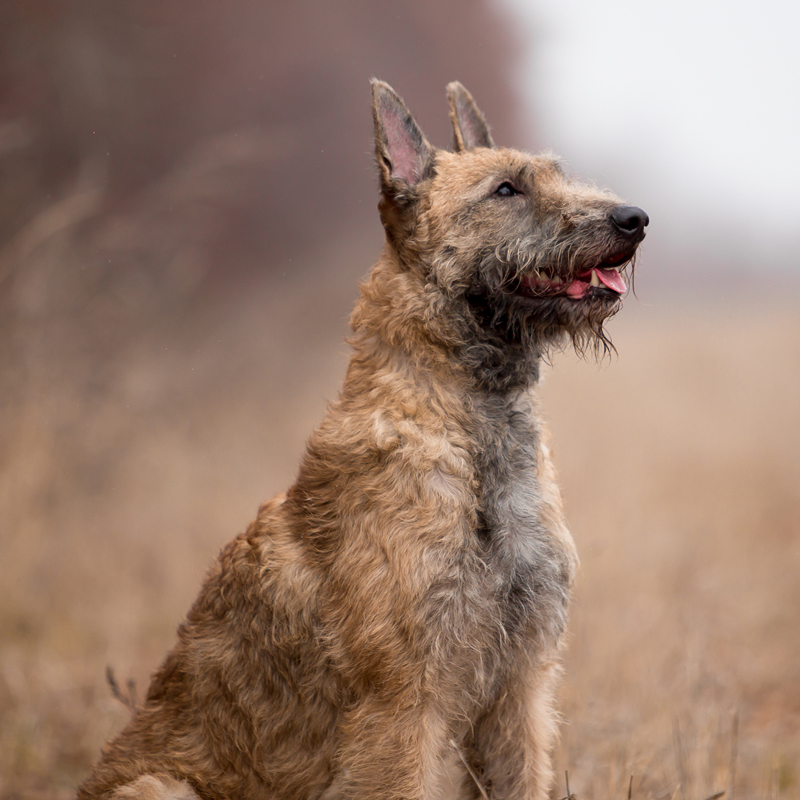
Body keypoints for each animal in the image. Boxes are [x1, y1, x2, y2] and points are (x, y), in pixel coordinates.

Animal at [78, 78, 648, 796]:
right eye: (506, 190)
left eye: (554, 174)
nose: (635, 218)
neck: (470, 427)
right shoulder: (403, 703)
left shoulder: (520, 687)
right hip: (158, 784)